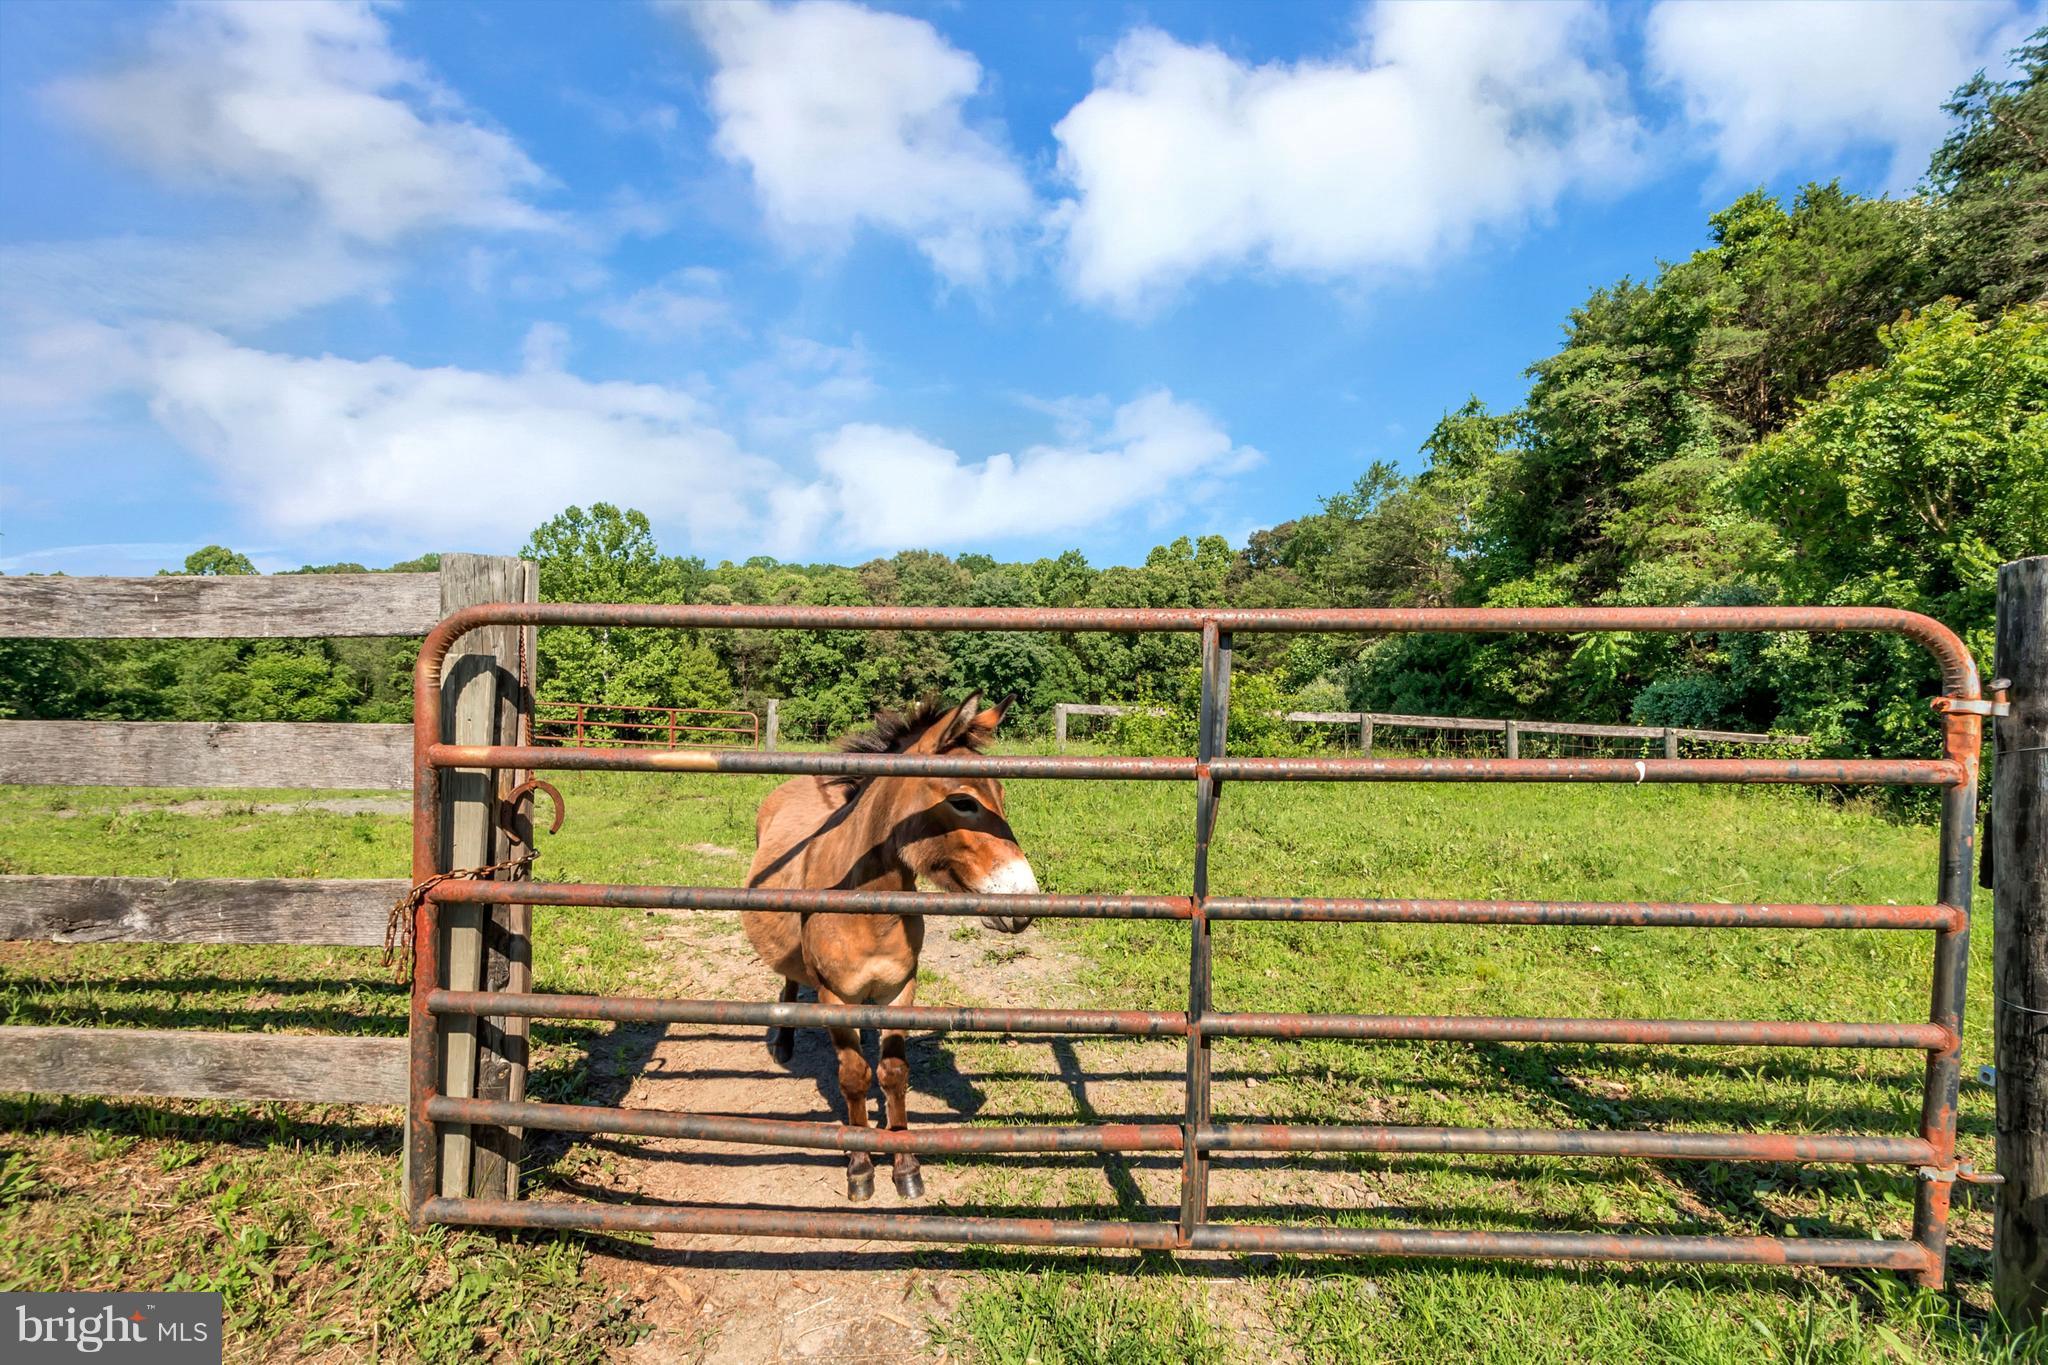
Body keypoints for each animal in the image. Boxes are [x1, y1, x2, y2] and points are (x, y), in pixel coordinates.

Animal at [741, 692, 1039, 1200]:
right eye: (962, 801)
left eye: (1001, 794)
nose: (1023, 905)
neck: (870, 909)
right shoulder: (835, 997)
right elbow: (853, 1077)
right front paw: (861, 1167)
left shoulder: (901, 989)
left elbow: (894, 1074)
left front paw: (905, 1166)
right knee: (788, 978)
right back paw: (783, 1040)